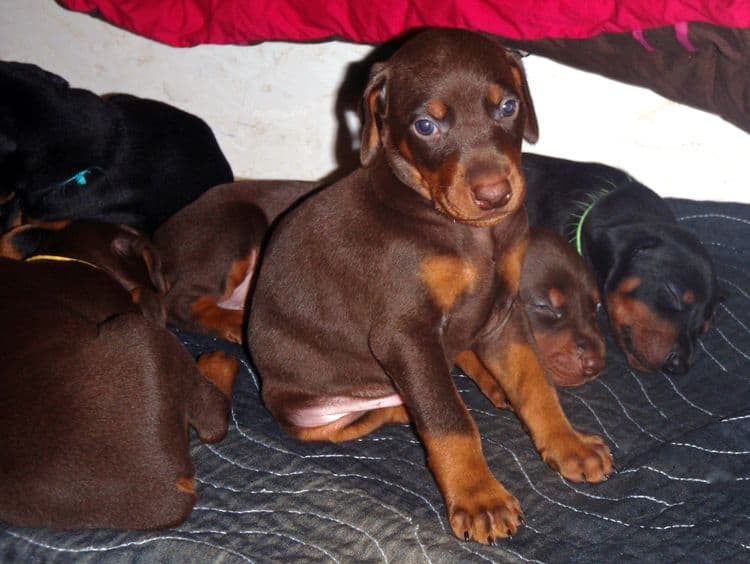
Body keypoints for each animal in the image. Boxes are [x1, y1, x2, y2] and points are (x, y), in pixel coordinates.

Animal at [247, 28, 612, 544]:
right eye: (425, 126)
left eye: (507, 107)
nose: (495, 195)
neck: (467, 232)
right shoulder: (406, 334)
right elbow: (449, 419)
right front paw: (479, 497)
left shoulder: (503, 313)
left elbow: (535, 382)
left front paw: (568, 443)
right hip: (304, 413)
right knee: (376, 415)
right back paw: (408, 410)